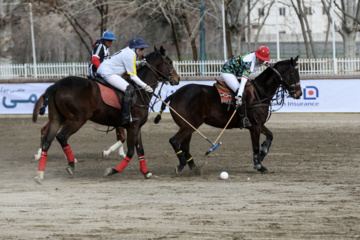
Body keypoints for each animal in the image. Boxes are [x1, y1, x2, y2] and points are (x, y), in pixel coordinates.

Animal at [32, 46, 180, 183]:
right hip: (76, 120)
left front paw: (146, 172)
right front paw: (113, 170)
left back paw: (40, 173)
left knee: (47, 140)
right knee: (61, 137)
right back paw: (71, 164)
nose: (177, 79)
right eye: (170, 62)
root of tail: (57, 85)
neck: (140, 91)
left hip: (57, 119)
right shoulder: (133, 126)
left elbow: (140, 150)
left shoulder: (136, 127)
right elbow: (131, 151)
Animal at [153, 56, 302, 173]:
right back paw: (182, 165)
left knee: (184, 145)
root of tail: (174, 94)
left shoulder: (259, 124)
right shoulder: (254, 126)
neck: (260, 93)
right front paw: (259, 165)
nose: (299, 93)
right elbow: (255, 146)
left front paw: (262, 153)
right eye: (294, 73)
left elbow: (270, 136)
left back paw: (193, 168)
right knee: (175, 141)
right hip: (189, 125)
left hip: (187, 125)